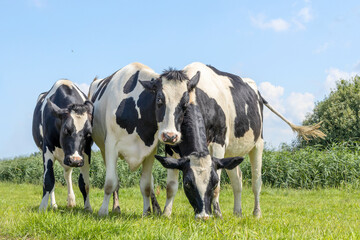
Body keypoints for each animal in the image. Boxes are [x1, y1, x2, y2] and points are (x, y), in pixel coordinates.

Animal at [32, 79, 93, 212]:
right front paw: (42, 208)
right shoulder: (47, 148)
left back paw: (71, 201)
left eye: (88, 133)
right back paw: (54, 205)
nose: (75, 160)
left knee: (67, 174)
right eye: (66, 130)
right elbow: (49, 180)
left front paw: (88, 208)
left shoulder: (85, 153)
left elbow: (84, 183)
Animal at [88, 62, 163, 216]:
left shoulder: (150, 150)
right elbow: (111, 181)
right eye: (160, 99)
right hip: (104, 149)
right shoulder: (111, 145)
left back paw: (156, 209)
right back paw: (115, 207)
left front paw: (147, 212)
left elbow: (147, 185)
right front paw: (103, 211)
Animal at [139, 62, 324, 218]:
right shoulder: (171, 148)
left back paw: (256, 213)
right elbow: (171, 186)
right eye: (159, 100)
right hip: (232, 153)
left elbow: (220, 187)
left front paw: (218, 214)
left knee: (256, 182)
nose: (203, 215)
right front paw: (166, 214)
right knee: (238, 180)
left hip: (258, 144)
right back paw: (237, 212)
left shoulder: (218, 144)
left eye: (184, 104)